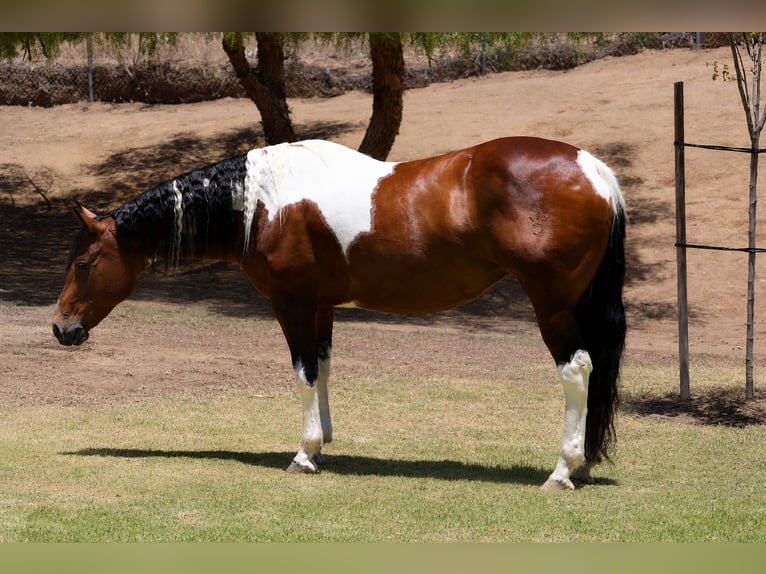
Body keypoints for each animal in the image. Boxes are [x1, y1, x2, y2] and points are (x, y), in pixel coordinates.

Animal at [52, 137, 626, 490]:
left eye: (82, 262)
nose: (61, 328)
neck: (265, 201)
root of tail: (592, 169)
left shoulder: (292, 304)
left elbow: (304, 371)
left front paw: (304, 454)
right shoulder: (321, 306)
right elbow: (324, 367)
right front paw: (324, 443)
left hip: (553, 305)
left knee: (577, 368)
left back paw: (562, 469)